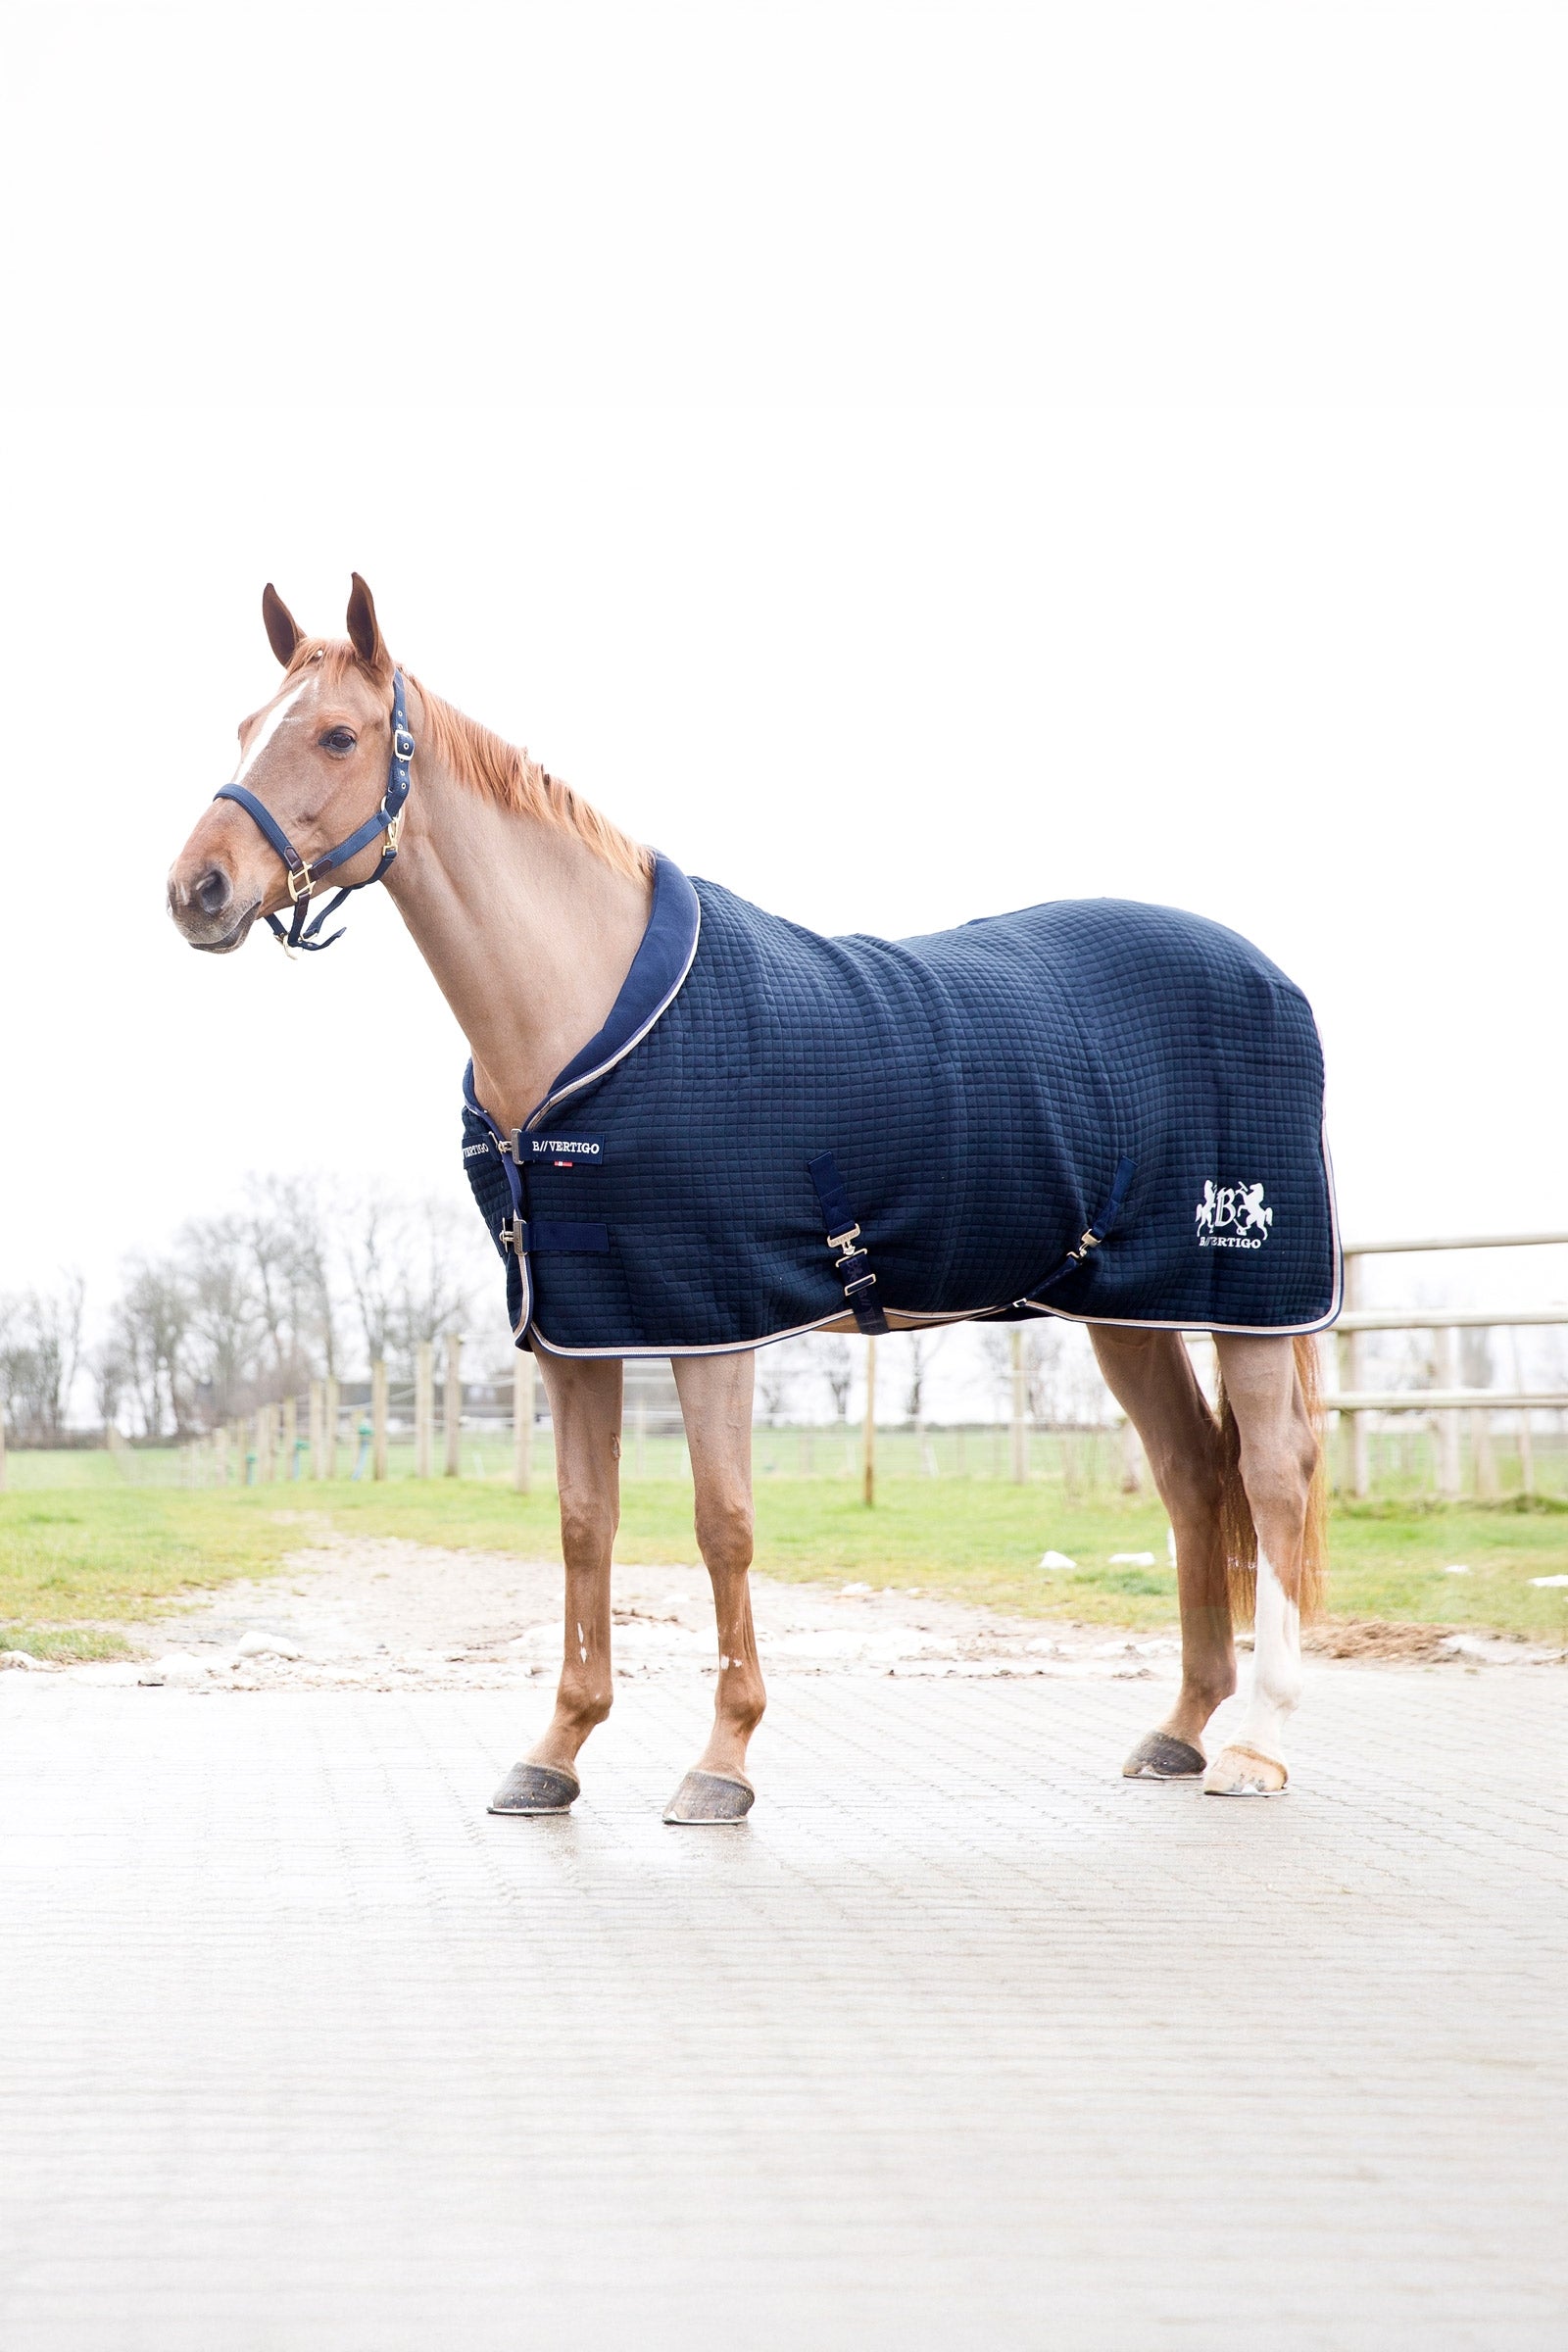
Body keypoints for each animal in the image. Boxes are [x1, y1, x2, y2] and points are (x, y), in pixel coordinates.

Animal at [168, 576, 1331, 1823]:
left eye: (336, 735)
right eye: (245, 726)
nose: (197, 890)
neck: (583, 1014)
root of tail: (1270, 978)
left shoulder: (711, 1322)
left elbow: (720, 1524)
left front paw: (721, 1762)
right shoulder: (577, 1332)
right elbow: (583, 1525)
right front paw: (555, 1751)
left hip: (1250, 1299)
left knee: (1270, 1479)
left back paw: (1258, 1744)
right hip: (1129, 1309)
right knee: (1192, 1479)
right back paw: (1180, 1730)